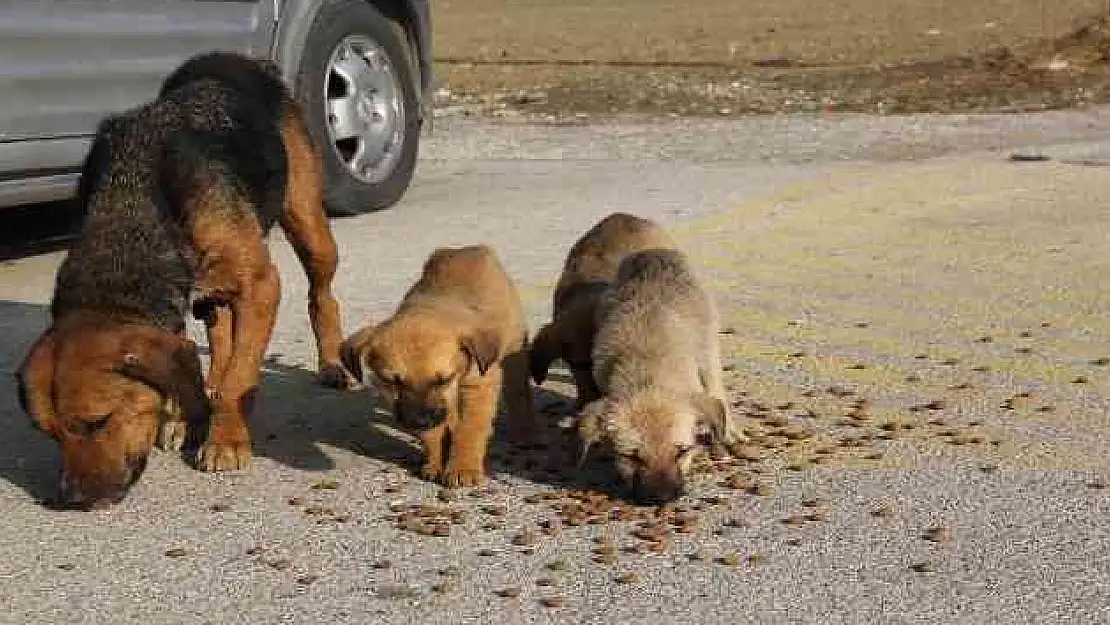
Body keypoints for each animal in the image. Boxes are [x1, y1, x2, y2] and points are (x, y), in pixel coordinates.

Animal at [16, 48, 355, 508]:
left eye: (97, 422)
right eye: (49, 433)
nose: (73, 499)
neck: (131, 206)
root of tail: (239, 58)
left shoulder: (261, 286)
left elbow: (240, 377)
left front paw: (225, 439)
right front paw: (185, 418)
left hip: (308, 225)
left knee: (322, 294)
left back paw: (332, 364)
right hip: (213, 290)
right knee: (220, 332)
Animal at [339, 244, 535, 488]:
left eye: (444, 379)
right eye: (392, 381)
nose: (418, 421)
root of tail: (468, 249)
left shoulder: (480, 383)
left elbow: (470, 428)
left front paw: (463, 467)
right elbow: (436, 431)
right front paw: (435, 462)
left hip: (515, 351)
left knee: (519, 394)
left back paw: (525, 433)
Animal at [563, 247, 745, 506]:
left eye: (682, 451)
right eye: (631, 456)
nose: (662, 499)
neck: (648, 368)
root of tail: (654, 251)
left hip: (708, 343)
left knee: (716, 385)